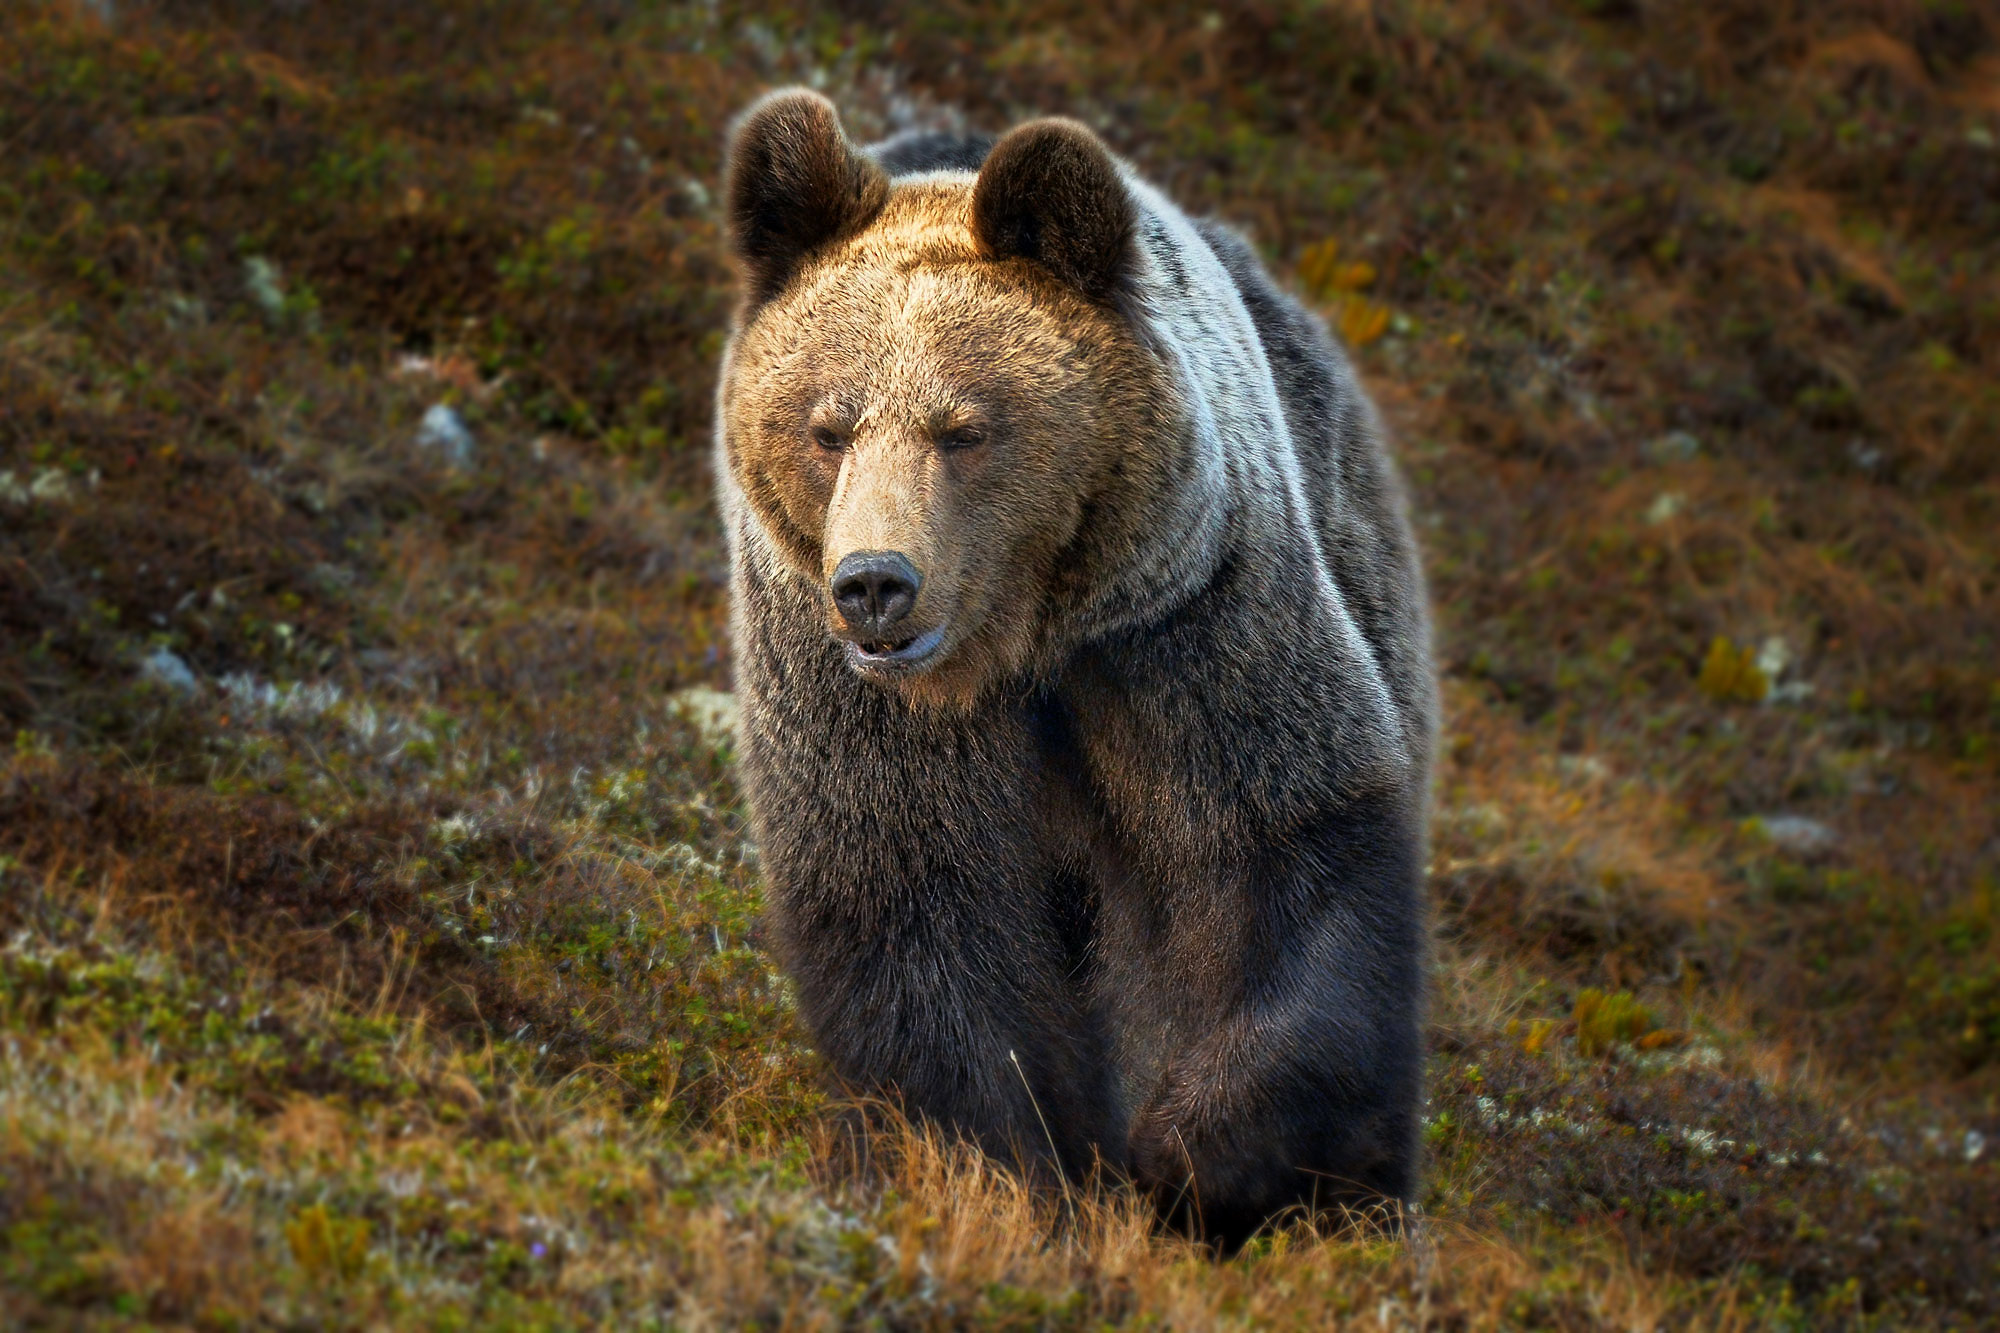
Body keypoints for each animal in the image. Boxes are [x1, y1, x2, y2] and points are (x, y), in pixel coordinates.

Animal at [720, 88, 1440, 1240]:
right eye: (827, 426)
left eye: (964, 427)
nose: (876, 583)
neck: (1018, 649)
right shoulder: (853, 697)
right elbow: (913, 900)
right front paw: (1005, 1169)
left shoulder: (1182, 629)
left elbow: (1275, 844)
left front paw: (1206, 1156)